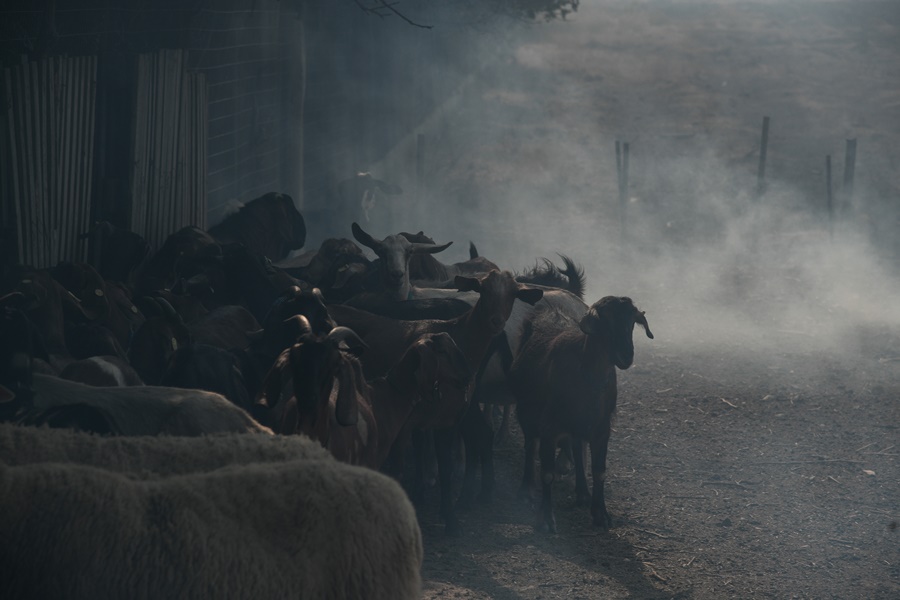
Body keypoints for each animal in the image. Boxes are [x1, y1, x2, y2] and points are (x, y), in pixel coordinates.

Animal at [506, 298, 652, 532]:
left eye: (632, 322)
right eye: (605, 321)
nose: (626, 356)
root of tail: (549, 309)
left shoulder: (601, 429)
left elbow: (599, 471)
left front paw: (600, 514)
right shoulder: (549, 427)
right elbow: (547, 473)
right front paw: (545, 518)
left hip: (577, 423)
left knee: (575, 447)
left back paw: (583, 492)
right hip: (526, 411)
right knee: (530, 446)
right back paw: (526, 490)